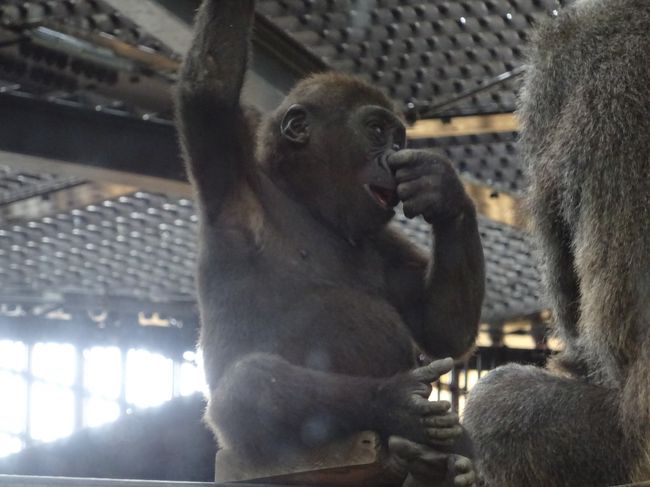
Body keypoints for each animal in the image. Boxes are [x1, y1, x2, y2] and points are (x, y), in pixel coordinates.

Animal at [175, 0, 484, 487]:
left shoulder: (383, 238)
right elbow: (209, 85)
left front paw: (444, 189)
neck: (308, 202)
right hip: (244, 446)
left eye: (398, 139)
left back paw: (435, 463)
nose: (391, 157)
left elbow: (442, 327)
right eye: (376, 131)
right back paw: (395, 405)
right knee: (248, 386)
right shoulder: (232, 176)